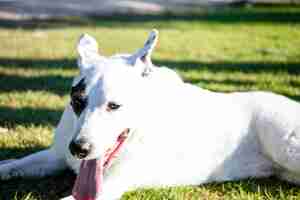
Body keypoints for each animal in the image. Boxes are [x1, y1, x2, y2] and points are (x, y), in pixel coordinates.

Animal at [0, 30, 300, 200]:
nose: (80, 149)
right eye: (77, 101)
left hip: (284, 141)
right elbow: (14, 164)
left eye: (114, 106)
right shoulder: (57, 155)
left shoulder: (107, 187)